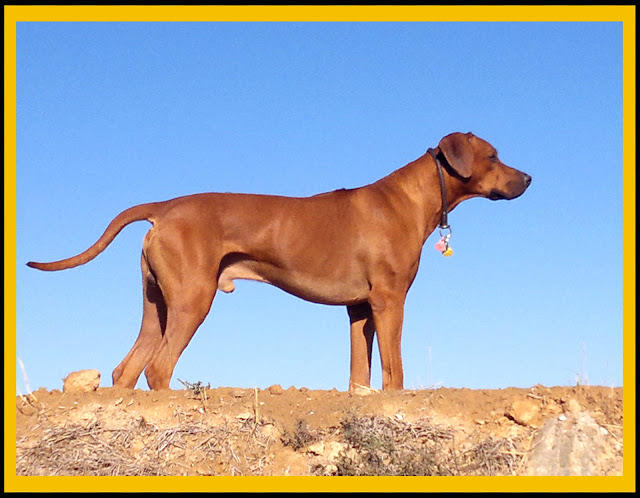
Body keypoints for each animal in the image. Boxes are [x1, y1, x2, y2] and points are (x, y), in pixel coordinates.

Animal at [27, 134, 532, 392]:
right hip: (193, 300)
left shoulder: (360, 310)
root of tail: (165, 208)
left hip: (159, 306)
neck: (409, 199)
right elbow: (395, 372)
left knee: (126, 371)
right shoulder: (390, 302)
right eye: (494, 156)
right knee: (158, 369)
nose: (529, 178)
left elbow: (359, 372)